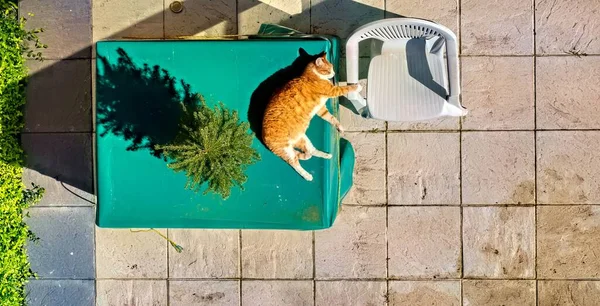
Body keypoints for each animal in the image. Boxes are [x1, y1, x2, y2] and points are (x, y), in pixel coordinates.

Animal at [262, 49, 360, 180]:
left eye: (332, 68)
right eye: (328, 70)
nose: (333, 74)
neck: (312, 74)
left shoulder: (321, 110)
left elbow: (331, 118)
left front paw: (339, 126)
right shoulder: (333, 91)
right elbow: (346, 88)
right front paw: (357, 87)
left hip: (303, 139)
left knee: (310, 151)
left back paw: (324, 155)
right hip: (286, 149)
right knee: (294, 162)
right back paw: (307, 175)